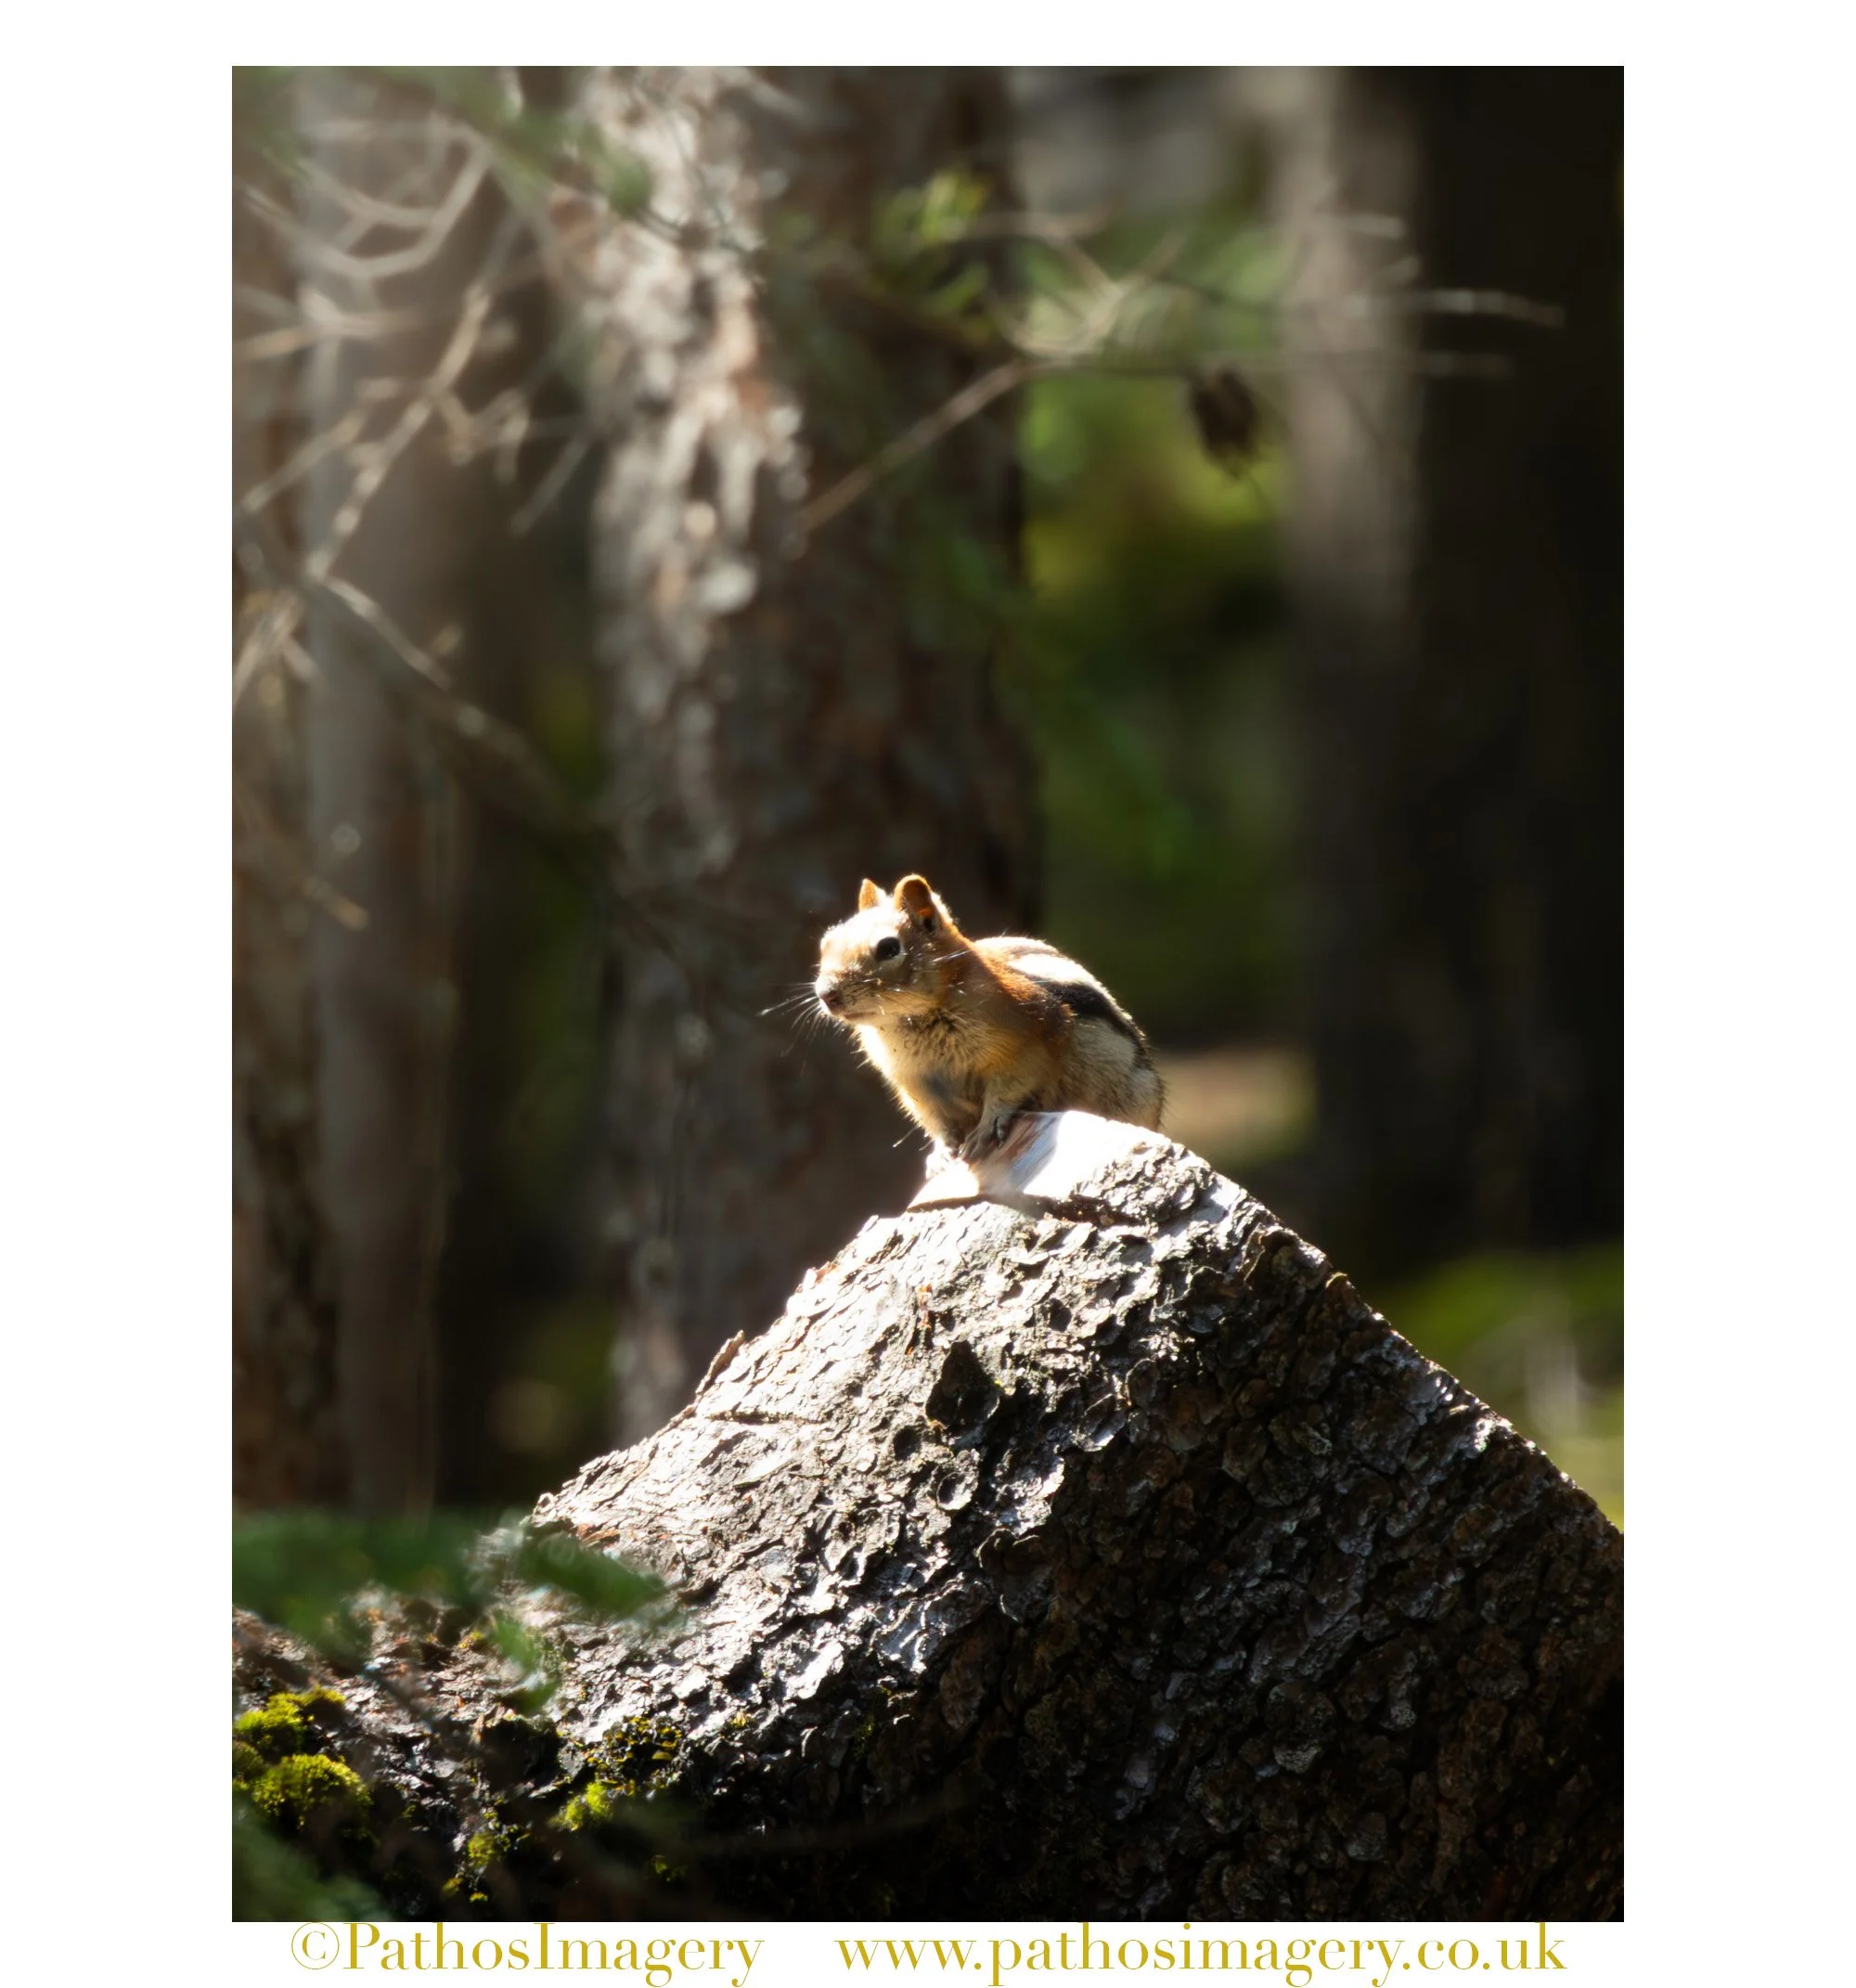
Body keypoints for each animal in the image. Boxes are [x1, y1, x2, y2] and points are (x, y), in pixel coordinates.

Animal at [813, 873, 1164, 1161]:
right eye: (826, 943)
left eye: (888, 948)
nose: (825, 993)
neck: (916, 1021)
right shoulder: (916, 1083)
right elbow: (934, 1119)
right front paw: (941, 1153)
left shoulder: (1029, 1041)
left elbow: (1010, 1087)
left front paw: (989, 1124)